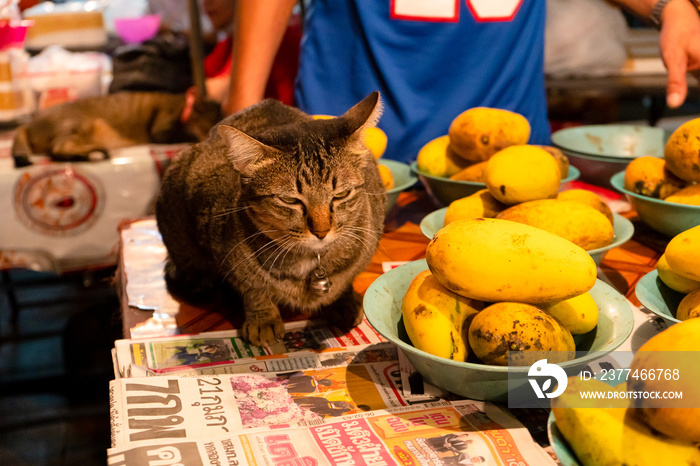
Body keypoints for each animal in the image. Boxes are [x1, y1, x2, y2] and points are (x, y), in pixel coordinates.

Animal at [12, 89, 223, 167]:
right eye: (211, 126)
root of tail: (26, 124)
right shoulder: (161, 128)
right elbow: (180, 132)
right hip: (77, 123)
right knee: (58, 149)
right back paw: (94, 153)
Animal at [157, 92, 388, 346]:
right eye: (290, 200)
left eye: (341, 195)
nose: (321, 231)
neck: (311, 262)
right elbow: (253, 287)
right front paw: (263, 318)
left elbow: (347, 279)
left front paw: (344, 300)